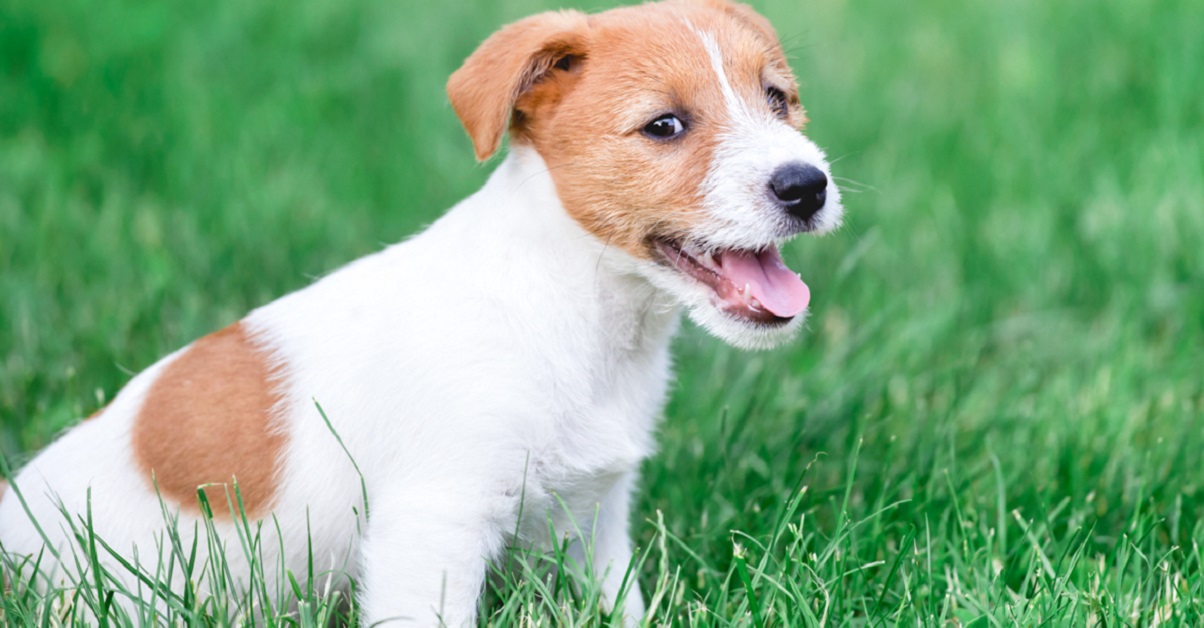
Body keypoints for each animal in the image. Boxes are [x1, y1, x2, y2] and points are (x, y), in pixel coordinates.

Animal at [0, 1, 842, 620]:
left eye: (778, 99)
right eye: (664, 125)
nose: (806, 185)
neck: (572, 307)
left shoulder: (593, 525)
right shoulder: (435, 523)